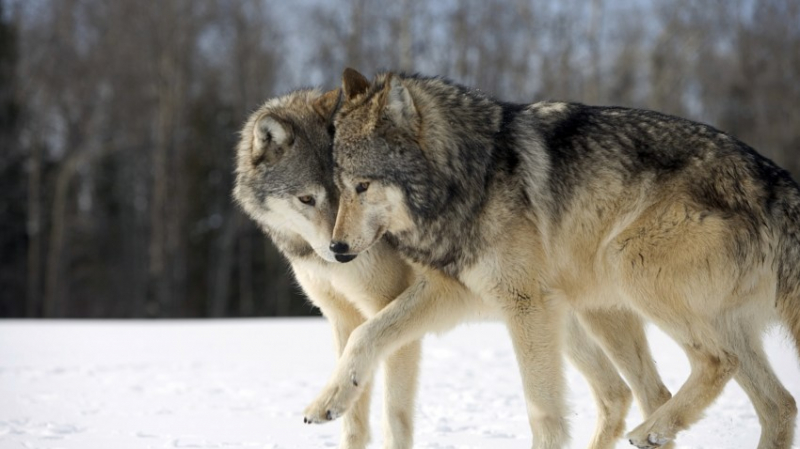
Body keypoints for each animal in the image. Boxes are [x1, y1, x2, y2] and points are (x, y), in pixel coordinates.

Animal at [234, 88, 672, 448]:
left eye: (354, 191)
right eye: (308, 199)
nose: (340, 251)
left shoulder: (400, 311)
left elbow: (392, 413)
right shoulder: (342, 317)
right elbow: (354, 420)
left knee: (641, 393)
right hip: (560, 322)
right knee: (619, 393)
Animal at [310, 68, 800, 448]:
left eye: (363, 186)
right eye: (339, 186)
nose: (336, 249)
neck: (471, 176)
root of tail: (774, 179)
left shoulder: (526, 304)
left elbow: (541, 409)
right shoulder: (455, 291)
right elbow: (367, 333)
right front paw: (327, 401)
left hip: (627, 265)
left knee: (716, 364)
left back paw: (653, 429)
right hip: (608, 309)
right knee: (775, 404)